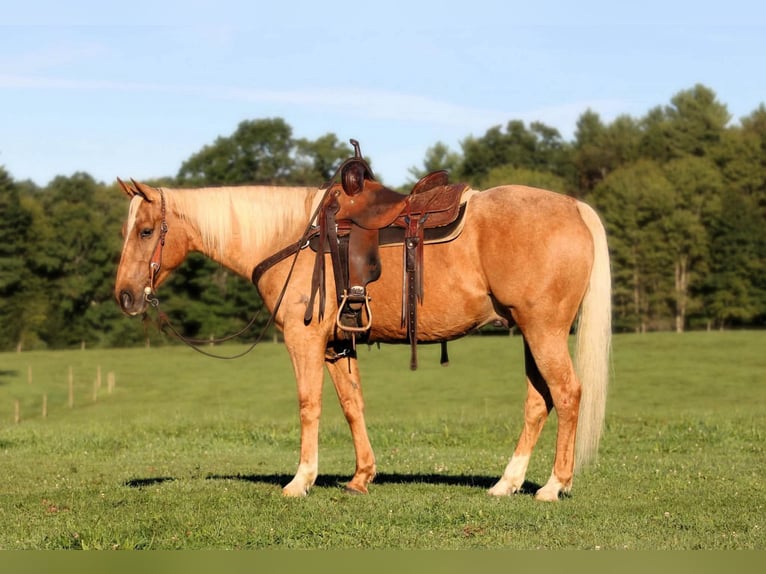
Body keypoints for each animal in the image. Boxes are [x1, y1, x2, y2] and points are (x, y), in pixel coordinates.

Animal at [114, 177, 611, 501]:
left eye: (145, 231)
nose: (125, 296)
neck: (292, 237)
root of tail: (574, 206)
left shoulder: (304, 340)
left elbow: (309, 405)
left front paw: (301, 480)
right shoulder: (337, 346)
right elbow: (352, 404)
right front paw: (361, 476)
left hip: (543, 331)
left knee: (567, 394)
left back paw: (554, 485)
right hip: (530, 332)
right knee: (539, 402)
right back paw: (507, 484)